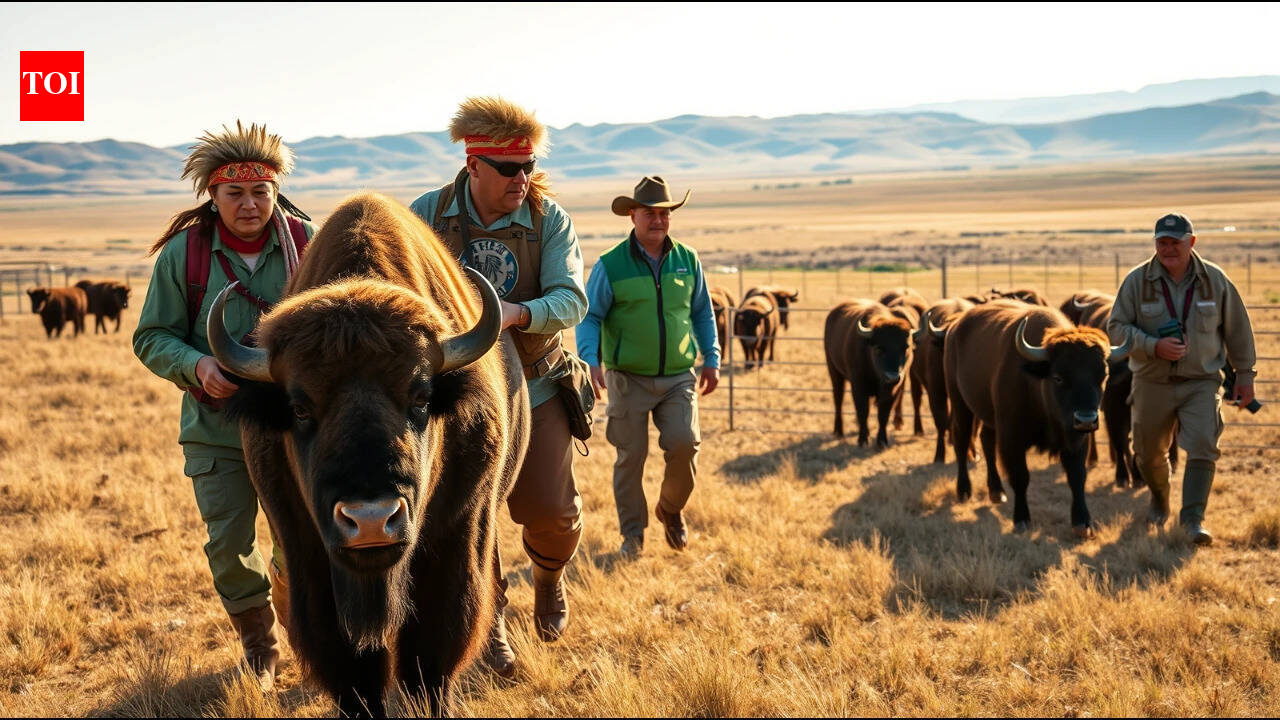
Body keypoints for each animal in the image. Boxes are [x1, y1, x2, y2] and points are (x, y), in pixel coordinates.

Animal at [213, 193, 529, 716]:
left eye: (421, 397)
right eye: (299, 407)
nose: (371, 521)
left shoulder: (455, 536)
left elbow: (432, 648)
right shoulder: (308, 551)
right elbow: (348, 664)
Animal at [824, 300, 915, 448]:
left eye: (905, 347)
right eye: (879, 348)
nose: (892, 377)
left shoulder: (891, 391)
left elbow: (883, 415)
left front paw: (882, 441)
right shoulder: (858, 387)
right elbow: (863, 411)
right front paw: (862, 439)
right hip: (834, 372)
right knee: (838, 398)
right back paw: (838, 430)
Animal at [944, 301, 1128, 536]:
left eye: (1103, 376)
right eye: (1058, 377)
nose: (1086, 419)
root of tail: (955, 327)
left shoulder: (1076, 438)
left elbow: (1077, 477)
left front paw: (1082, 522)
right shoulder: (1011, 437)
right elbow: (1020, 476)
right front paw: (1021, 520)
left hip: (988, 416)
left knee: (986, 440)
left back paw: (996, 491)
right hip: (959, 401)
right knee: (961, 439)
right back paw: (964, 490)